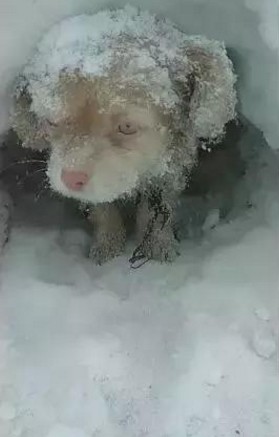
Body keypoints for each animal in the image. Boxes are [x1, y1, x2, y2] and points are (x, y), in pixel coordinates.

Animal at [11, 6, 238, 264]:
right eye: (52, 120)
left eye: (127, 127)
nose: (71, 179)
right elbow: (103, 209)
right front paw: (108, 245)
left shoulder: (169, 173)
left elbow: (157, 210)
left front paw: (157, 246)